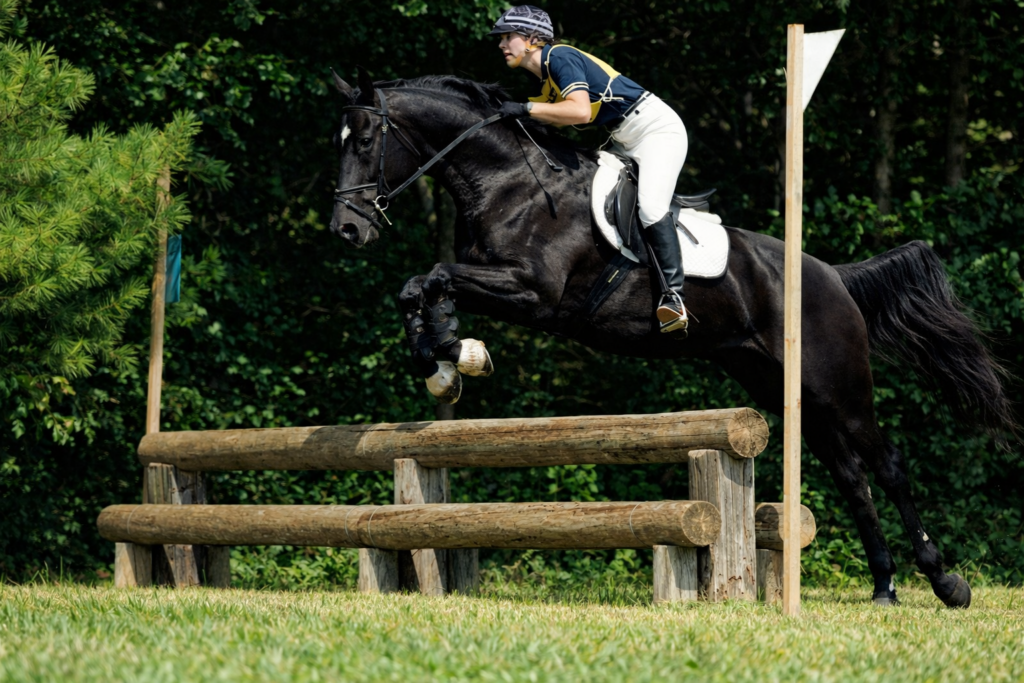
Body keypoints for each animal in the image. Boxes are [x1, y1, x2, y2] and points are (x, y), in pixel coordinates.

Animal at [327, 70, 1015, 608]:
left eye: (365, 140)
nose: (346, 230)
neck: (508, 182)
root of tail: (832, 276)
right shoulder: (499, 283)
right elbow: (419, 287)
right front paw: (443, 363)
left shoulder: (535, 291)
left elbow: (434, 277)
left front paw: (458, 354)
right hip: (786, 389)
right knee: (851, 475)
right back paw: (884, 586)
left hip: (838, 386)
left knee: (887, 464)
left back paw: (945, 583)